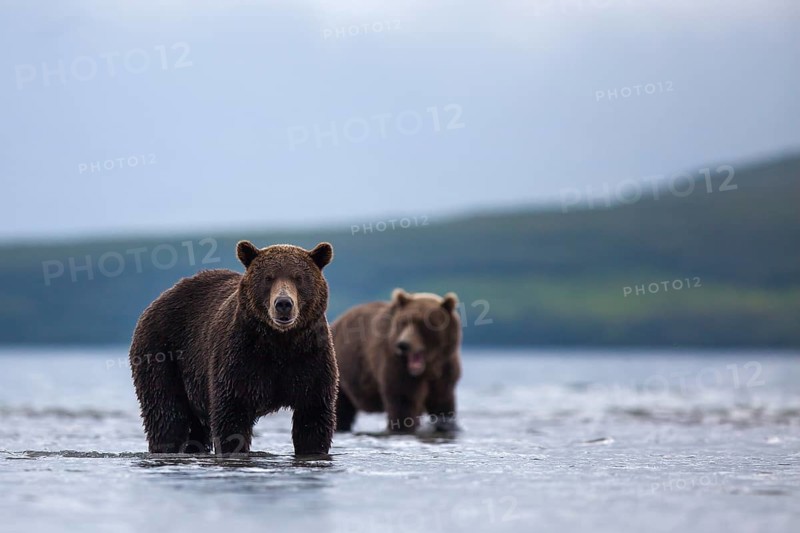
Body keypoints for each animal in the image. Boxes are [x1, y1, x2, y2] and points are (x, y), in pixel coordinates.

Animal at [129, 240, 338, 455]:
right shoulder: (239, 360)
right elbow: (231, 419)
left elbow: (312, 421)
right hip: (162, 353)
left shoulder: (311, 360)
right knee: (167, 416)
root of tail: (160, 298)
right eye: (268, 278)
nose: (283, 303)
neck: (279, 342)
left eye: (299, 278)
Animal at [332, 289, 462, 433]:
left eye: (422, 323)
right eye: (404, 322)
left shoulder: (445, 370)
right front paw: (403, 426)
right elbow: (403, 400)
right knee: (341, 409)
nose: (403, 345)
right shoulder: (395, 364)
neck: (429, 367)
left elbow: (443, 403)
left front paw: (447, 426)